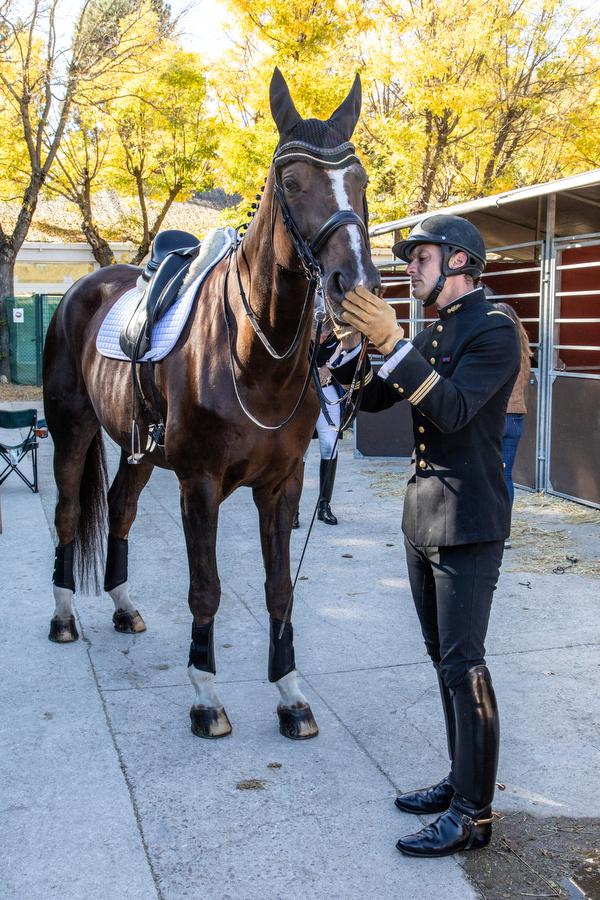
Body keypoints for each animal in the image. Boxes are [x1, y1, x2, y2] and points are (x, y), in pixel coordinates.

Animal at [43, 68, 380, 740]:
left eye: (358, 180)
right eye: (292, 182)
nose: (354, 287)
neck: (254, 355)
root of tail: (80, 290)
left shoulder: (283, 484)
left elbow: (280, 588)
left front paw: (290, 694)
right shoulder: (198, 483)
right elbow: (206, 589)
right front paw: (206, 696)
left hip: (139, 451)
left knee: (120, 509)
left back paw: (123, 606)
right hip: (71, 430)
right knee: (69, 513)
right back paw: (64, 617)